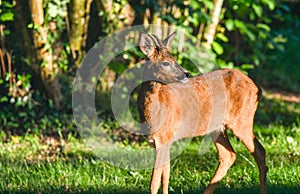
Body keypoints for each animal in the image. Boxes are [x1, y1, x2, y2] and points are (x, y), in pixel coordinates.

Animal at [138, 31, 268, 193]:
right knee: (229, 155)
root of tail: (257, 89)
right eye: (166, 63)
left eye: (175, 59)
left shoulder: (164, 137)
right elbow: (165, 175)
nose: (187, 74)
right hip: (217, 127)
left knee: (259, 151)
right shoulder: (164, 141)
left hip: (242, 119)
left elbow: (155, 180)